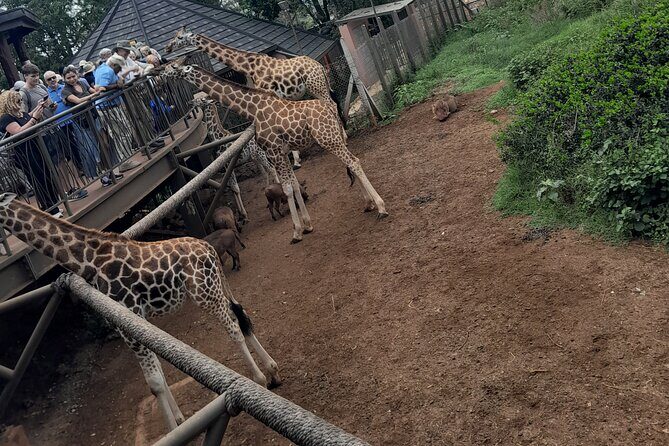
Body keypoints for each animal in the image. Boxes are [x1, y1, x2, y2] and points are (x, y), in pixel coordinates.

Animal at [0, 192, 280, 430]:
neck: (88, 261)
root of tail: (207, 247)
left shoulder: (128, 316)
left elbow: (154, 382)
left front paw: (173, 430)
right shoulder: (137, 318)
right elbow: (160, 374)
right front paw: (180, 419)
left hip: (204, 294)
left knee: (233, 327)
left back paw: (259, 378)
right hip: (215, 285)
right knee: (240, 314)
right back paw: (272, 370)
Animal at [165, 27, 344, 168]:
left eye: (179, 37)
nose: (167, 48)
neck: (248, 66)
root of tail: (319, 65)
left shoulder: (269, 93)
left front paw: (294, 161)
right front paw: (295, 158)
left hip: (317, 87)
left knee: (332, 105)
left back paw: (343, 136)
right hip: (319, 87)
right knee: (333, 103)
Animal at [193, 95, 278, 223]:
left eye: (201, 99)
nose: (191, 102)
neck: (217, 137)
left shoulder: (228, 165)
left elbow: (235, 188)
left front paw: (244, 215)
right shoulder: (226, 167)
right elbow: (232, 189)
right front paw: (241, 215)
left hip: (260, 155)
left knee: (272, 169)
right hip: (257, 157)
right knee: (269, 170)